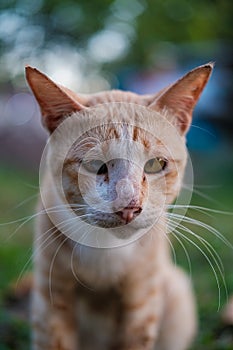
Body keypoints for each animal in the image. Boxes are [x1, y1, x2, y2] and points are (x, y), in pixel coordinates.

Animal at [25, 63, 213, 350]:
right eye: (95, 165)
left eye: (155, 164)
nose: (129, 207)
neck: (106, 249)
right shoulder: (51, 295)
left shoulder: (142, 299)